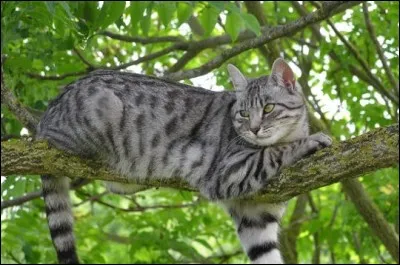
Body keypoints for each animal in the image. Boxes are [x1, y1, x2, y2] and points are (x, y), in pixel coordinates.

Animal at [36, 57, 332, 262]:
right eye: (244, 113)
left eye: (269, 108)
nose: (254, 129)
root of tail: (49, 109)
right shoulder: (229, 171)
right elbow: (274, 151)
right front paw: (311, 141)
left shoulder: (256, 217)